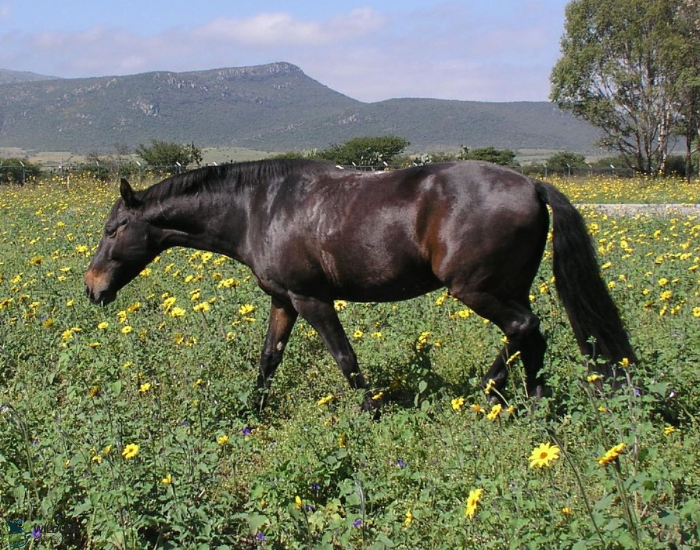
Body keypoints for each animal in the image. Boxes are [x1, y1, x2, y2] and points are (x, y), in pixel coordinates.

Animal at [84, 159, 636, 410]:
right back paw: (526, 400)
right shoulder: (284, 301)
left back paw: (495, 391)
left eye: (114, 229)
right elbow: (268, 360)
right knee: (530, 336)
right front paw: (250, 411)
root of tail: (532, 184)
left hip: (475, 289)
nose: (92, 287)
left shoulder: (312, 299)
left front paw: (370, 412)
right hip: (505, 288)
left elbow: (345, 358)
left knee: (525, 329)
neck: (258, 208)